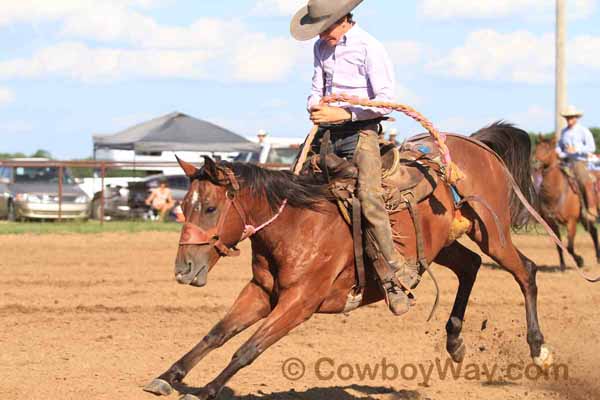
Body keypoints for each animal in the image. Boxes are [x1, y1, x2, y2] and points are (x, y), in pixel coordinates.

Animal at [144, 122, 552, 400]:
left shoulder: (300, 302)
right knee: (470, 266)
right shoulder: (261, 291)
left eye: (210, 208)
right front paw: (168, 375)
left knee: (526, 272)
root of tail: (475, 143)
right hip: (442, 244)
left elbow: (247, 349)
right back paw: (454, 342)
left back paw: (538, 349)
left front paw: (208, 389)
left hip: (493, 233)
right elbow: (216, 334)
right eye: (184, 206)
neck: (298, 223)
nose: (183, 269)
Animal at [532, 136, 596, 270]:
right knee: (593, 231)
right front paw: (562, 266)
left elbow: (569, 247)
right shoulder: (551, 223)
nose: (535, 162)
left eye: (547, 149)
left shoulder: (571, 221)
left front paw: (580, 261)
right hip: (584, 218)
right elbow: (559, 245)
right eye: (536, 148)